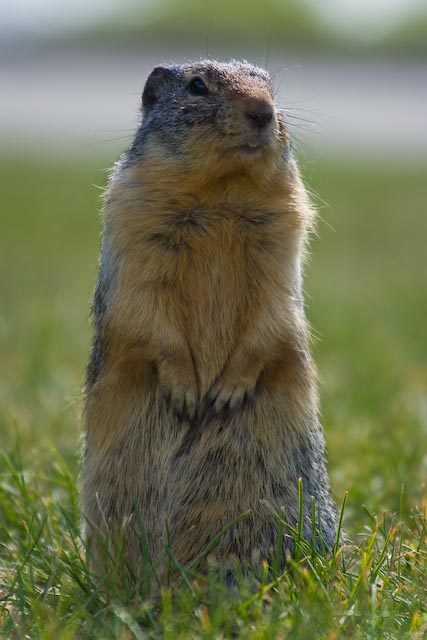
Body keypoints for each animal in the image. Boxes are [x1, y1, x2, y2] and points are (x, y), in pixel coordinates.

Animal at [82, 60, 340, 584]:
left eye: (271, 87)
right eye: (197, 86)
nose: (262, 111)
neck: (221, 192)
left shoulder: (284, 234)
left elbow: (273, 315)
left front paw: (226, 393)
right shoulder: (132, 220)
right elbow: (145, 310)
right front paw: (185, 392)